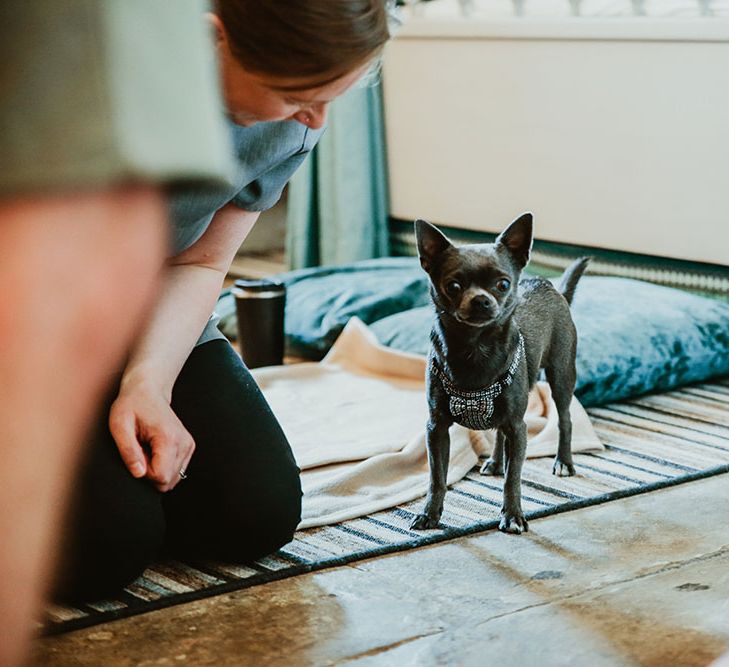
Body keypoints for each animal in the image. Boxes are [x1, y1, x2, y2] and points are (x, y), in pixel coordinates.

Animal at [412, 217, 588, 536]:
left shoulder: (518, 428)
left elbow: (512, 479)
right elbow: (436, 477)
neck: (474, 347)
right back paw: (495, 461)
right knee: (498, 431)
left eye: (503, 284)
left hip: (560, 376)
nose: (481, 300)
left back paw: (563, 462)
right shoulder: (437, 428)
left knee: (565, 418)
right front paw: (429, 514)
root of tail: (552, 287)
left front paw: (512, 516)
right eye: (453, 286)